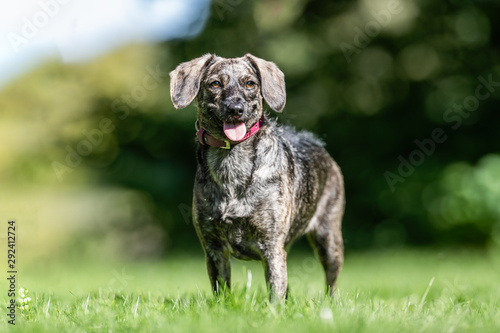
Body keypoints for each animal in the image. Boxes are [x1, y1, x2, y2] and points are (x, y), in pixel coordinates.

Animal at [170, 53, 346, 300]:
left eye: (250, 84)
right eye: (215, 84)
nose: (235, 108)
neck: (231, 161)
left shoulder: (272, 246)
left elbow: (275, 290)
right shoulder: (213, 248)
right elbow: (221, 289)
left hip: (328, 238)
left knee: (331, 282)